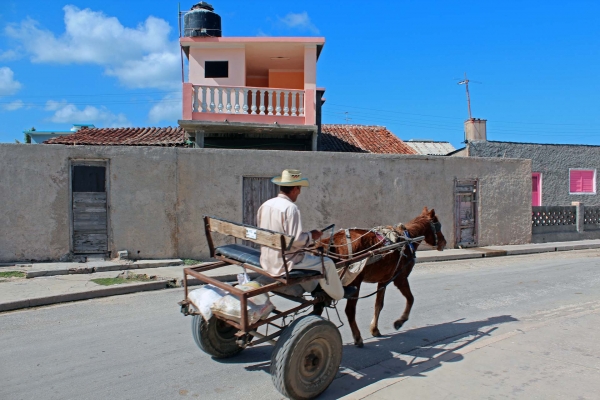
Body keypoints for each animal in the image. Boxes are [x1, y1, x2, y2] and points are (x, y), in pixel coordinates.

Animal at [324, 206, 446, 346]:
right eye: (438, 226)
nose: (444, 243)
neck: (407, 240)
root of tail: (332, 241)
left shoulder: (383, 280)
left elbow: (379, 304)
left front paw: (374, 329)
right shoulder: (400, 278)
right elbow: (411, 299)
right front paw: (400, 321)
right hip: (354, 282)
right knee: (349, 311)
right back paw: (358, 337)